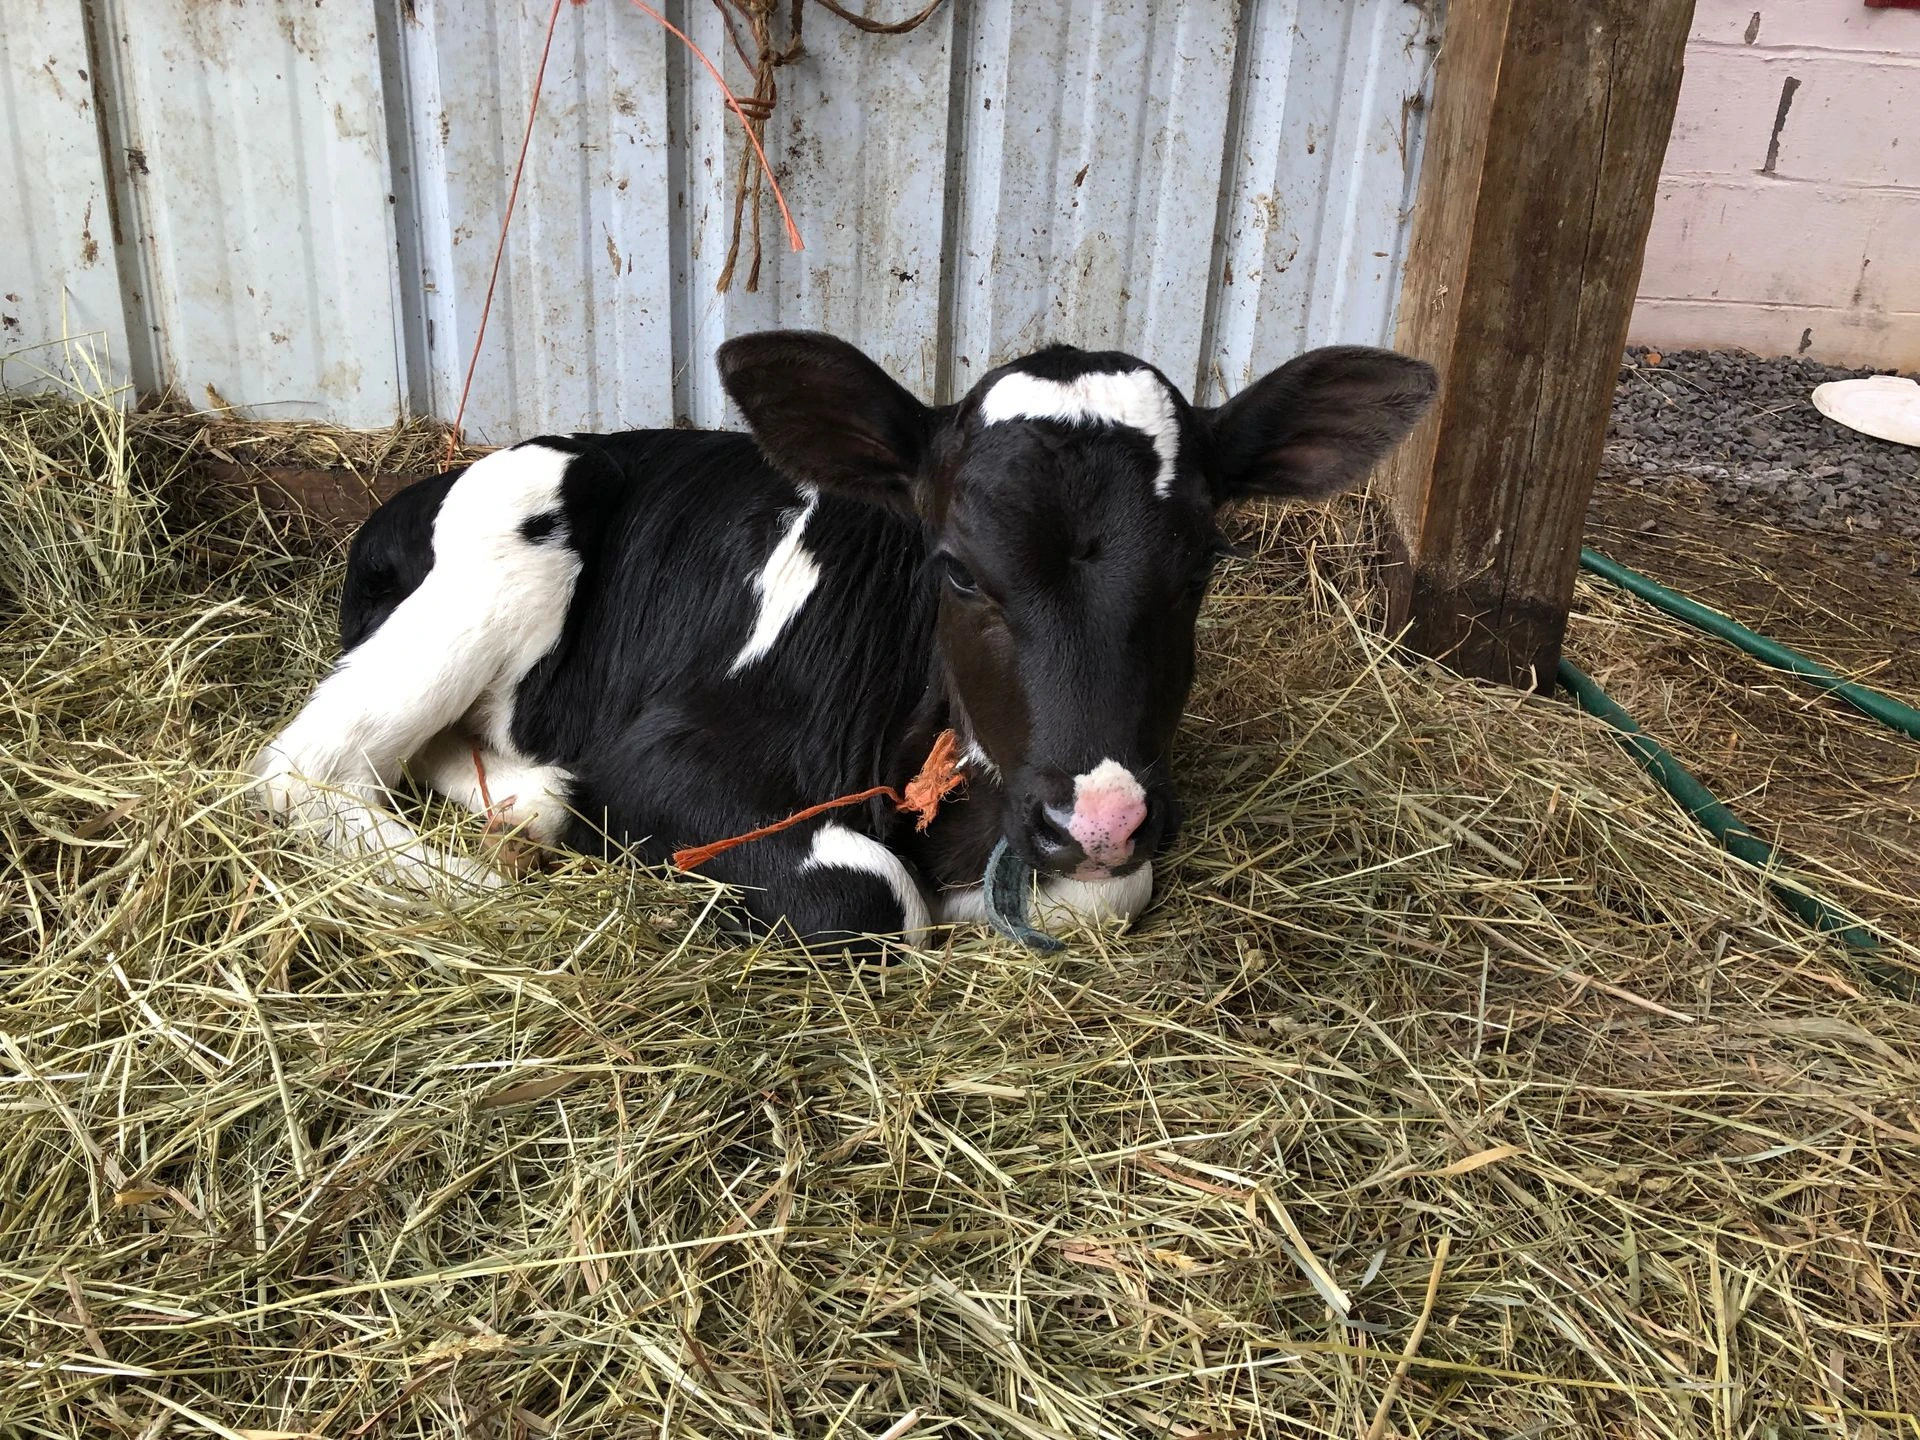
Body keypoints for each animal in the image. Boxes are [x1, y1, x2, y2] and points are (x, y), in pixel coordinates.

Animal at [251, 331, 1436, 955]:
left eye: (1202, 565)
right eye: (955, 568)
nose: (1098, 819)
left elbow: (1107, 895)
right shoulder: (661, 755)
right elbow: (870, 894)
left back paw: (531, 802)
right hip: (505, 550)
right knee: (309, 767)